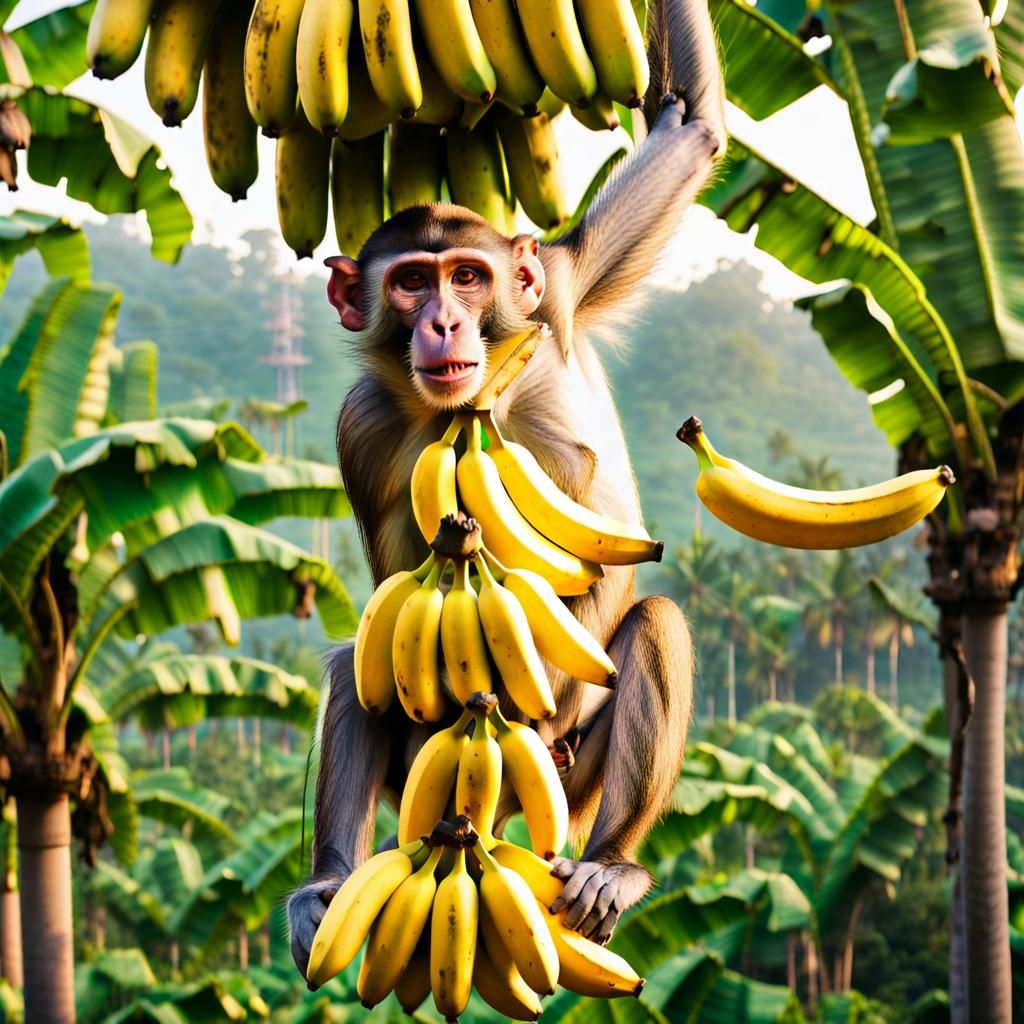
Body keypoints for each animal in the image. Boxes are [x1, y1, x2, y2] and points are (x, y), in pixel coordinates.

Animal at [288, 0, 726, 979]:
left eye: (468, 276)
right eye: (411, 282)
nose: (445, 324)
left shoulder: (553, 291)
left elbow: (687, 128)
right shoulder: (359, 425)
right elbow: (390, 595)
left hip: (572, 770)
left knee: (655, 624)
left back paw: (613, 865)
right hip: (431, 766)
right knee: (363, 660)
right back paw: (330, 883)